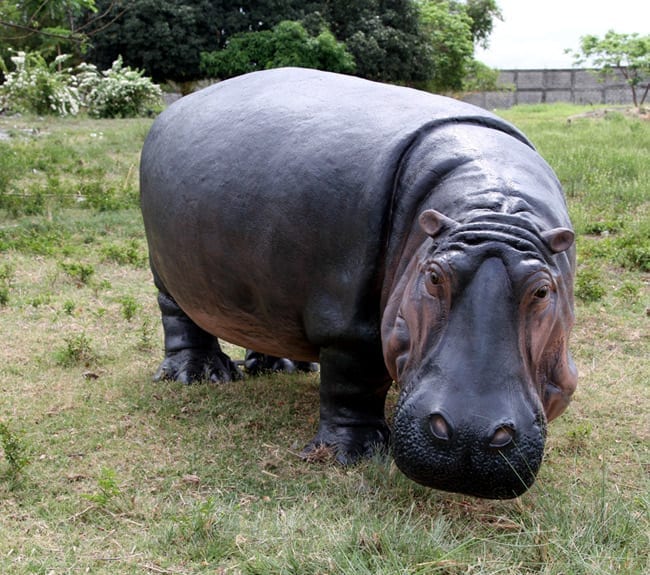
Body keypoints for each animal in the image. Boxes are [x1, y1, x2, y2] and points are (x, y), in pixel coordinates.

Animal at [140, 68, 577, 499]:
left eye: (543, 290)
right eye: (433, 276)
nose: (468, 436)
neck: (494, 209)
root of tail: (173, 110)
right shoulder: (348, 316)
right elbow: (354, 380)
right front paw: (355, 455)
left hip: (258, 277)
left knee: (259, 320)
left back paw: (281, 367)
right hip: (166, 269)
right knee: (178, 317)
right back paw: (200, 376)